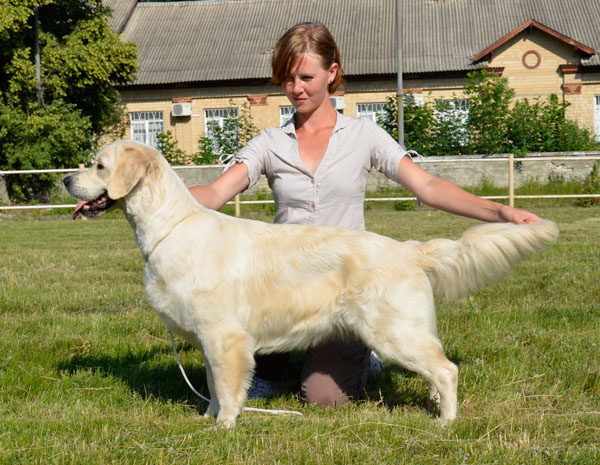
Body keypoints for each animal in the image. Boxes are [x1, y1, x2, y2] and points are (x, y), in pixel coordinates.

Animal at [63, 140, 560, 426]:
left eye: (99, 166)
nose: (66, 179)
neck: (169, 227)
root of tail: (407, 249)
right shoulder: (209, 339)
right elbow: (212, 385)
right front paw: (205, 419)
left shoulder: (225, 336)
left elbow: (227, 389)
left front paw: (223, 429)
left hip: (395, 333)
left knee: (447, 370)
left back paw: (446, 422)